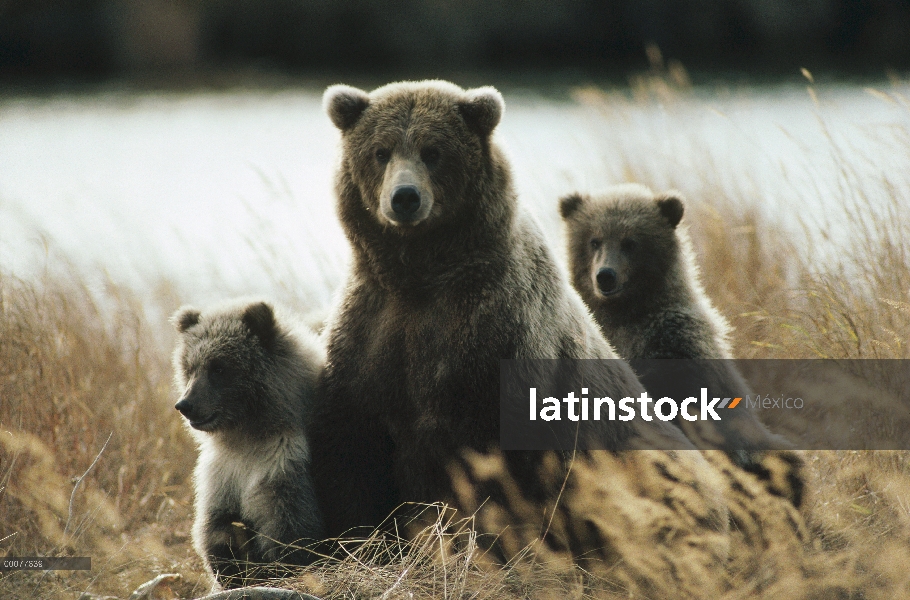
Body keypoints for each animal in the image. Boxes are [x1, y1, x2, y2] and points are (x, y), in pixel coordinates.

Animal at [173, 300, 326, 584]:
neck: (247, 433)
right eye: (189, 366)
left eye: (218, 367)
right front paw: (227, 566)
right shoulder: (222, 472)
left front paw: (279, 565)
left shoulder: (282, 463)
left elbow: (287, 526)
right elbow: (218, 524)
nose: (185, 405)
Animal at [306, 79, 728, 540]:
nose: (404, 198)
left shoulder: (494, 336)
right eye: (380, 151)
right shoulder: (373, 331)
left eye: (433, 150)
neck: (422, 276)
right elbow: (354, 450)